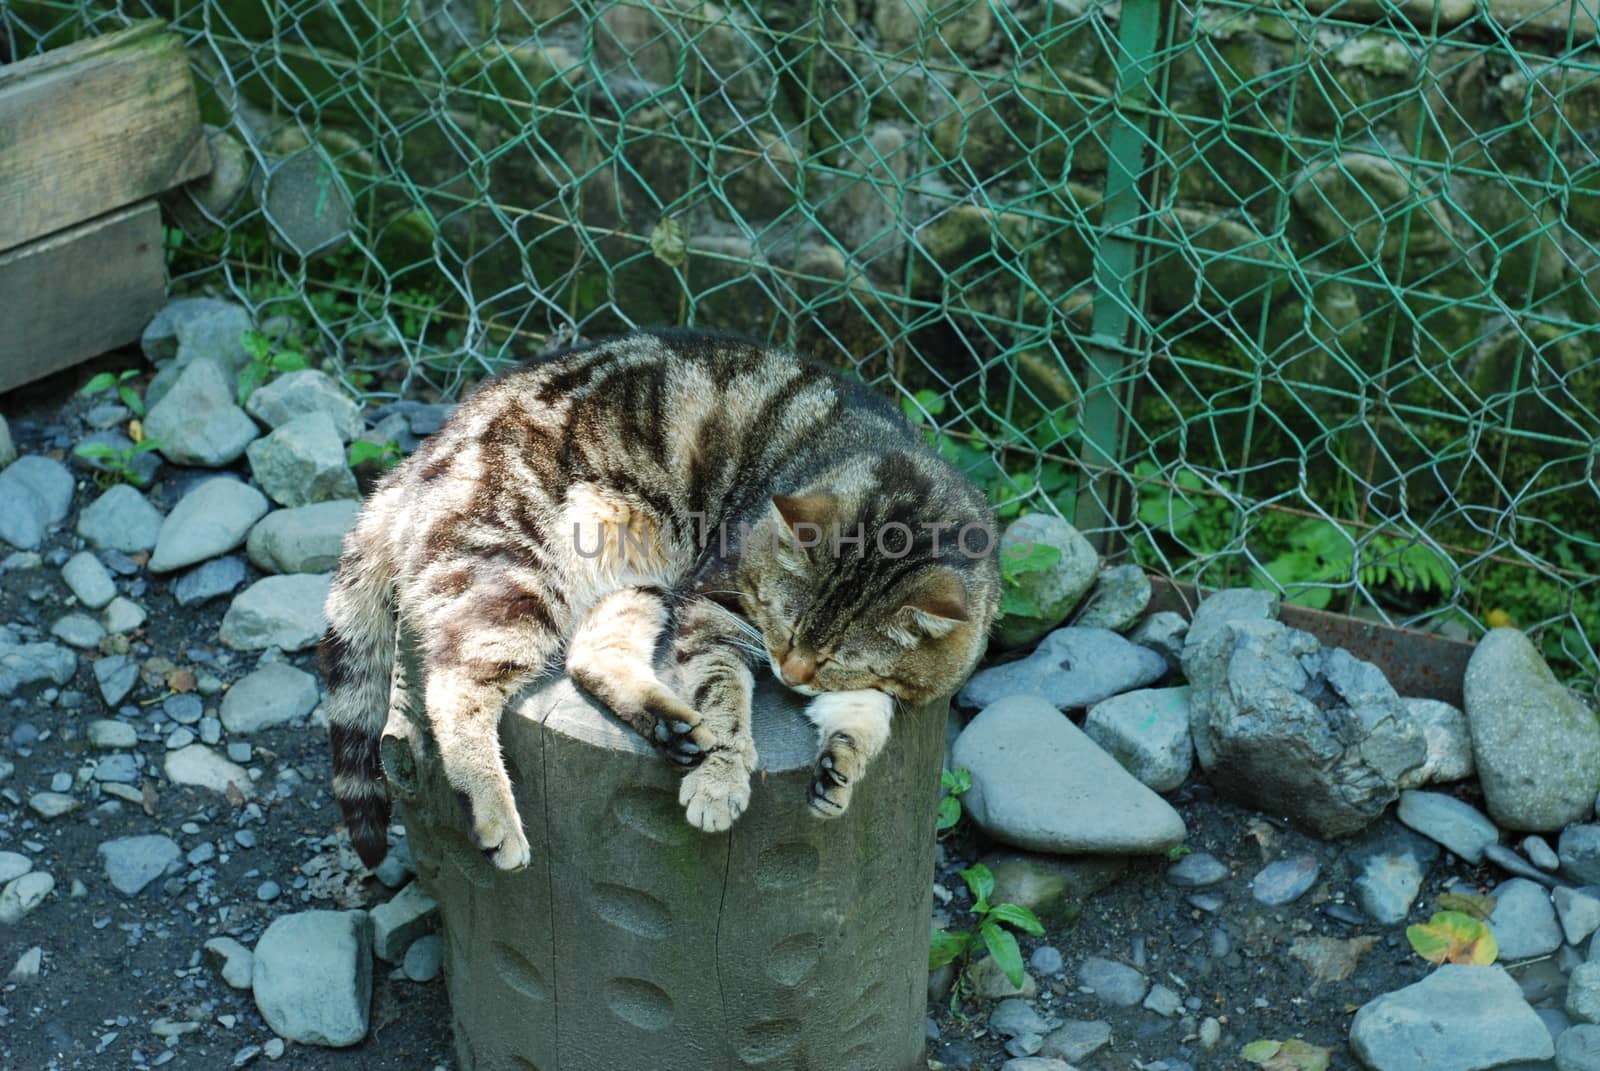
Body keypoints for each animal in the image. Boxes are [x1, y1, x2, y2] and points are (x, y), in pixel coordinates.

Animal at [321, 331, 998, 870]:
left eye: (836, 659)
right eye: (782, 628)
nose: (790, 671)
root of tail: (418, 459)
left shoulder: (871, 681)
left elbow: (866, 715)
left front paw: (841, 766)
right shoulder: (714, 600)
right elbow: (726, 698)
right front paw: (722, 780)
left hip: (634, 578)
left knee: (590, 657)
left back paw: (671, 724)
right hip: (517, 576)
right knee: (454, 687)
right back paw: (496, 814)